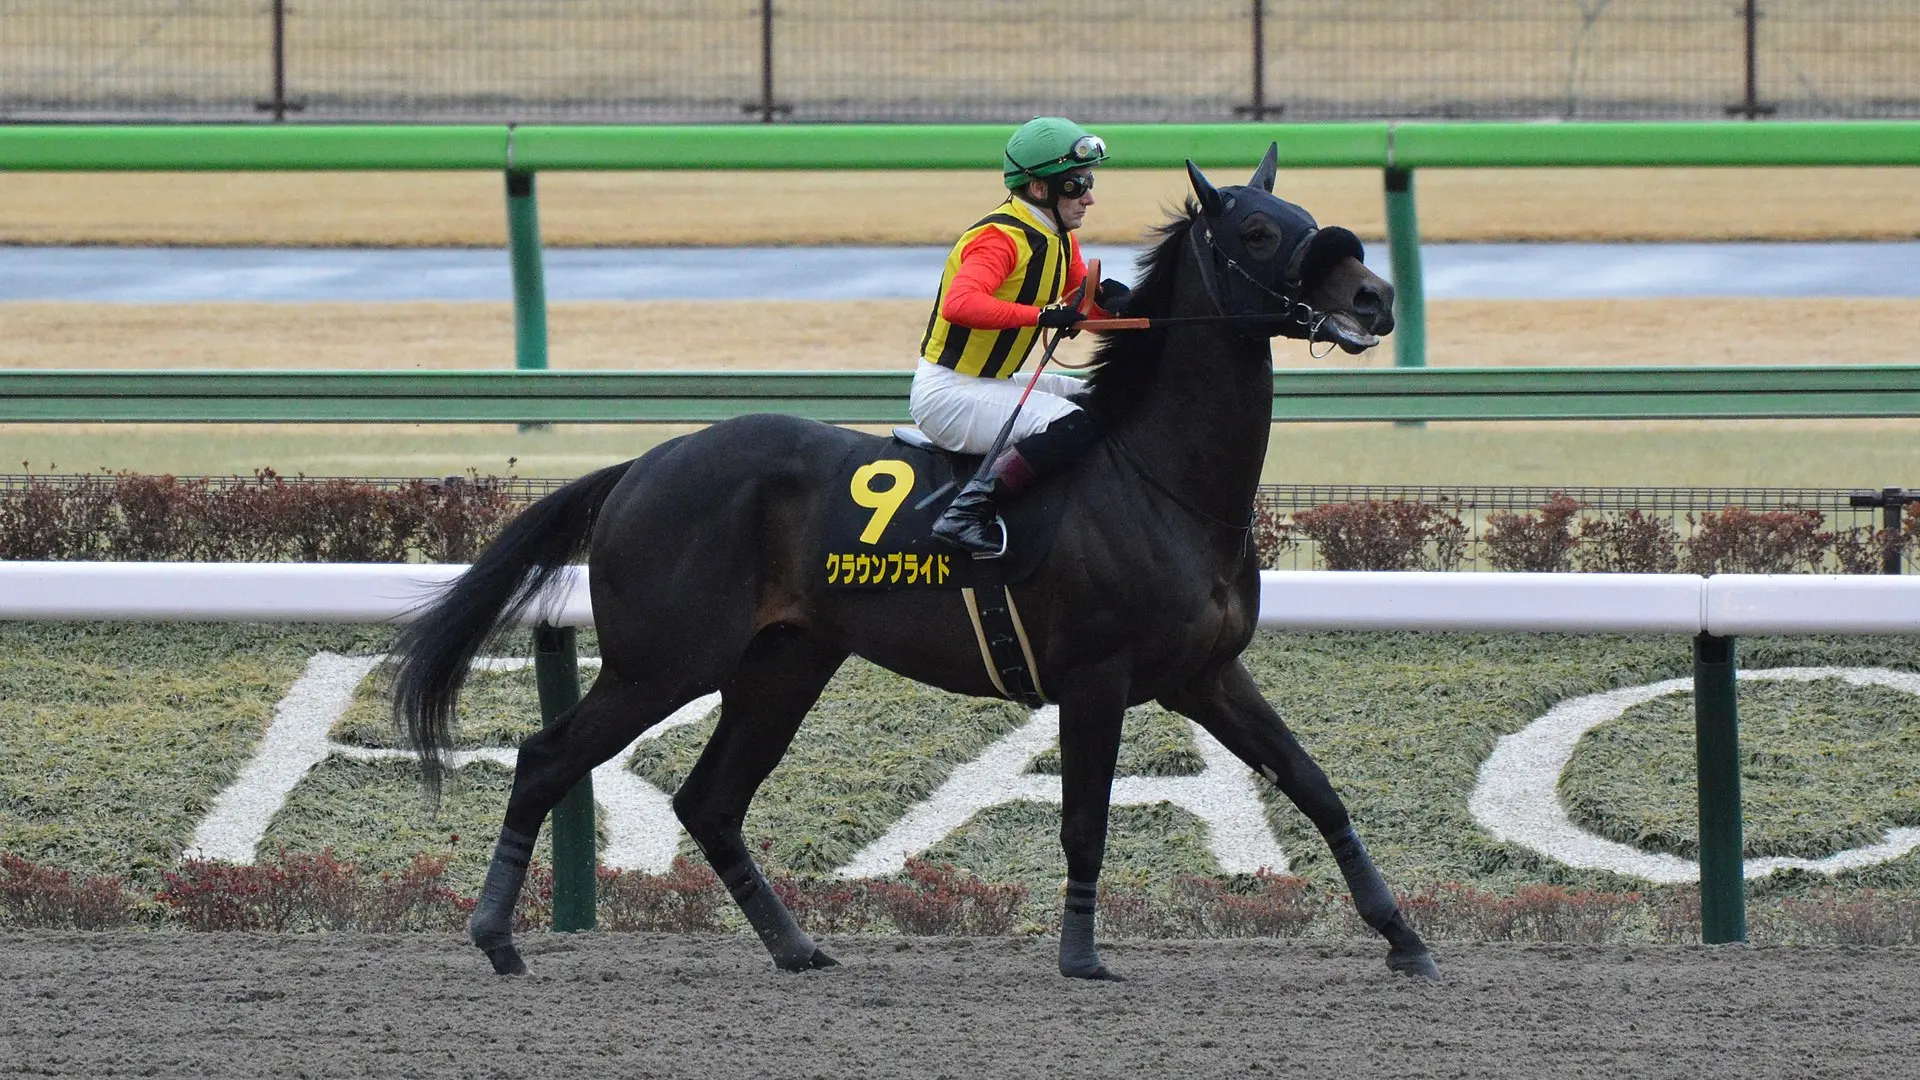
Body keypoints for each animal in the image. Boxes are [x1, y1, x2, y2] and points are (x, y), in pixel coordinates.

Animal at [390, 144, 1440, 983]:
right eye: (1259, 233)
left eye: (1302, 216)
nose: (1375, 297)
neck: (1163, 481)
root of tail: (641, 466)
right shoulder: (1096, 677)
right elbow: (1085, 818)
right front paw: (1081, 956)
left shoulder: (1207, 673)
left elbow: (1313, 785)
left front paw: (1403, 939)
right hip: (663, 661)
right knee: (547, 760)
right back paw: (496, 937)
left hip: (783, 664)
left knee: (710, 801)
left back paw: (796, 946)